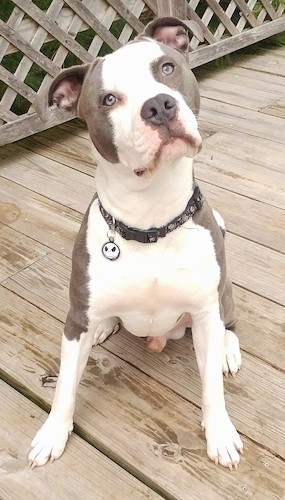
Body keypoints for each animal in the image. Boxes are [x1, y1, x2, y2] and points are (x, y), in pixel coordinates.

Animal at [28, 15, 242, 468]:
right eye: (109, 99)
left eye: (166, 67)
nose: (159, 106)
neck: (151, 221)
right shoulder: (75, 321)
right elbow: (65, 385)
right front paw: (53, 432)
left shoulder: (204, 309)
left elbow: (211, 388)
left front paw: (220, 433)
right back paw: (107, 326)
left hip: (223, 293)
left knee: (228, 322)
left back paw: (228, 350)